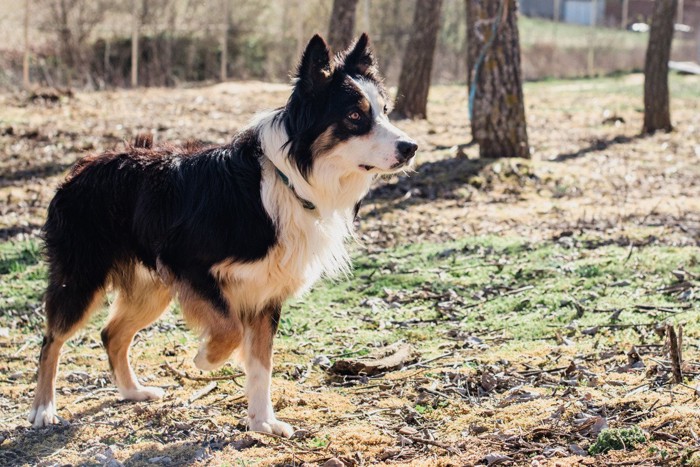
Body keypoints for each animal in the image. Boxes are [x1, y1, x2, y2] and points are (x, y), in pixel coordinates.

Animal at [28, 33, 416, 438]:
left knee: (111, 334)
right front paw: (205, 358)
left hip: (152, 290)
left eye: (385, 110)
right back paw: (43, 408)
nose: (411, 148)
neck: (288, 180)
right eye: (355, 116)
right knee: (51, 339)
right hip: (81, 278)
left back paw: (133, 391)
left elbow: (261, 365)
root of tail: (81, 166)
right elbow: (229, 330)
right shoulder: (189, 265)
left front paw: (262, 422)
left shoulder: (265, 297)